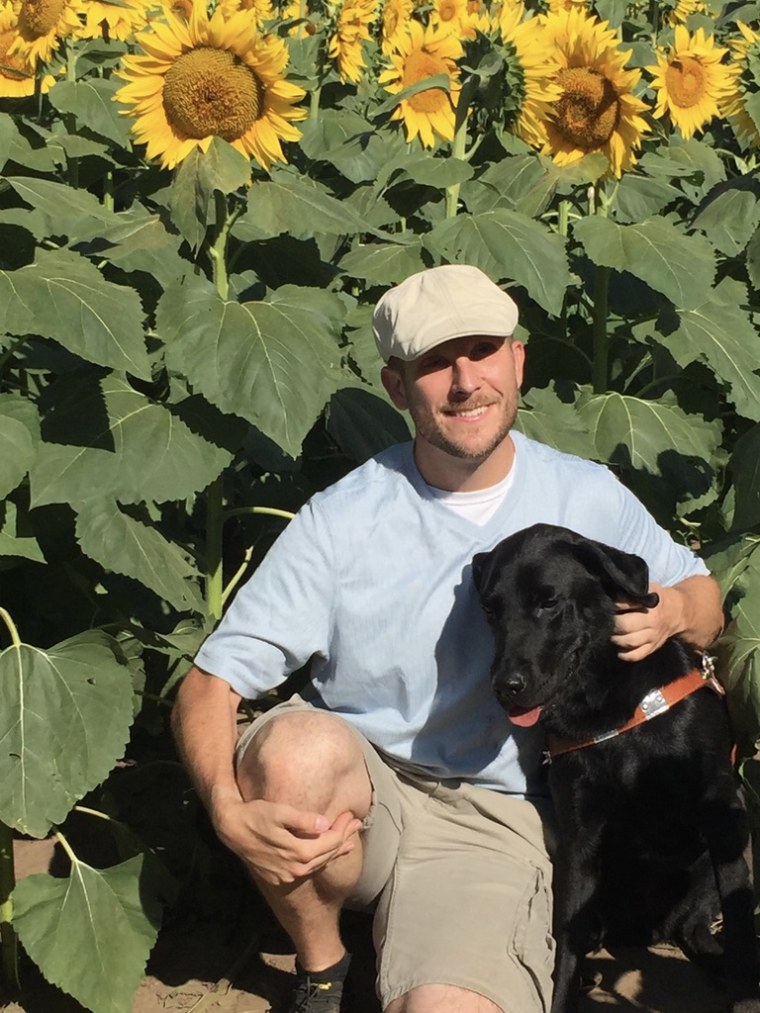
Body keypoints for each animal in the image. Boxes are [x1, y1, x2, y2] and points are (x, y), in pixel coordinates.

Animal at [474, 526, 757, 1008]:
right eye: (491, 611)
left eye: (549, 601)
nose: (505, 687)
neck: (606, 712)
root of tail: (640, 932)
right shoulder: (579, 841)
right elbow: (565, 949)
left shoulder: (723, 814)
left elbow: (740, 933)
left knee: (694, 928)